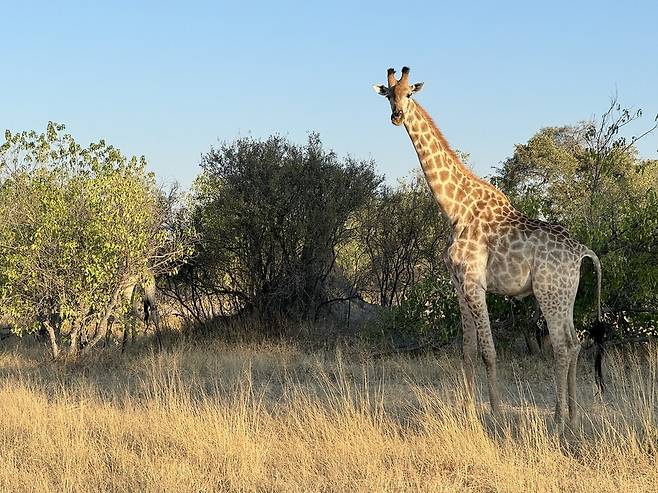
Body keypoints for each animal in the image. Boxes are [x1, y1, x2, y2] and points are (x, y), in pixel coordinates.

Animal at [368, 66, 600, 426]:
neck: (455, 209)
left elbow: (489, 352)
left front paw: (494, 411)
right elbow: (467, 349)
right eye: (389, 95)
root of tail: (582, 252)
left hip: (549, 292)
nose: (396, 116)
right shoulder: (458, 283)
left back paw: (558, 418)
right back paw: (572, 415)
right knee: (575, 343)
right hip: (566, 294)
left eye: (409, 94)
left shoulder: (475, 282)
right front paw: (466, 407)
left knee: (562, 346)